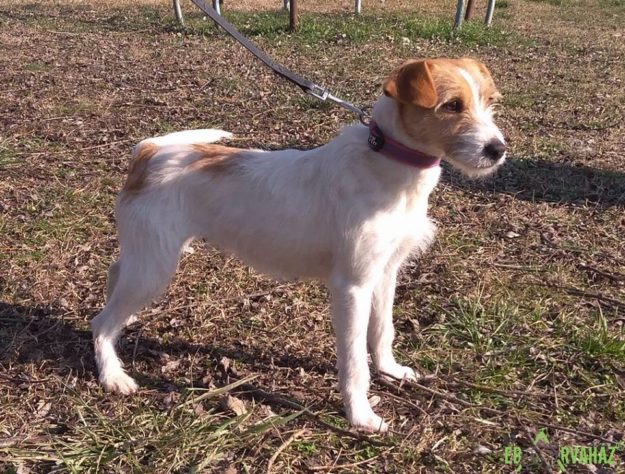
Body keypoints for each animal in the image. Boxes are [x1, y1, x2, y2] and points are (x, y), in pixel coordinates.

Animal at [92, 57, 506, 432]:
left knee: (116, 275)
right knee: (100, 323)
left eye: (489, 102)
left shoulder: (385, 272)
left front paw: (389, 370)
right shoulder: (352, 287)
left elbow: (382, 329)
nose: (498, 149)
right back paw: (113, 375)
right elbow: (354, 359)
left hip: (147, 257)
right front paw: (360, 415)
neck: (385, 161)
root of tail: (149, 153)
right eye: (452, 105)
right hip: (154, 266)